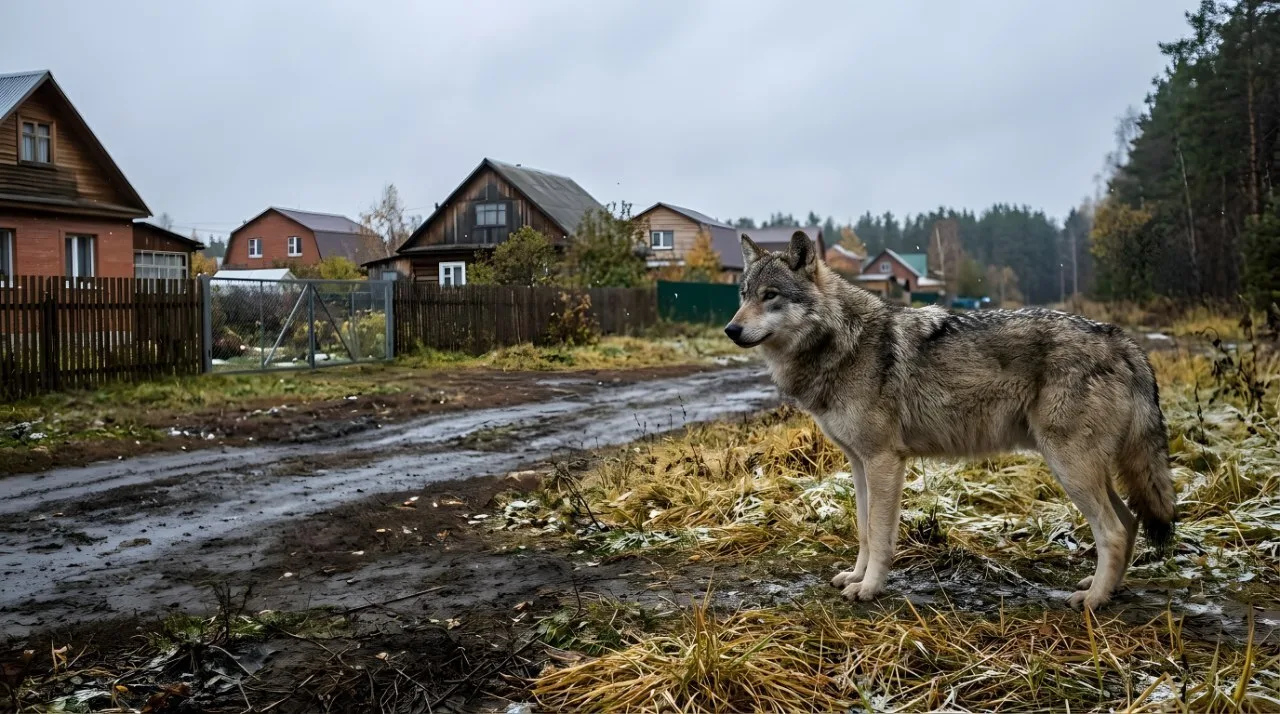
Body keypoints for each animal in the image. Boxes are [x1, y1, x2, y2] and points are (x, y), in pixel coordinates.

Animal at [724, 232, 1176, 610]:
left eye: (770, 295)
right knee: (1130, 522)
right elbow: (864, 530)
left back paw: (1094, 600)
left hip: (1070, 468)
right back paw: (1107, 589)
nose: (731, 329)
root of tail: (1120, 338)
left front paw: (870, 589)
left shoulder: (884, 461)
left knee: (1113, 531)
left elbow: (879, 534)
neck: (843, 342)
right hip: (1087, 470)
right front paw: (855, 576)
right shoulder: (859, 464)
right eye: (743, 295)